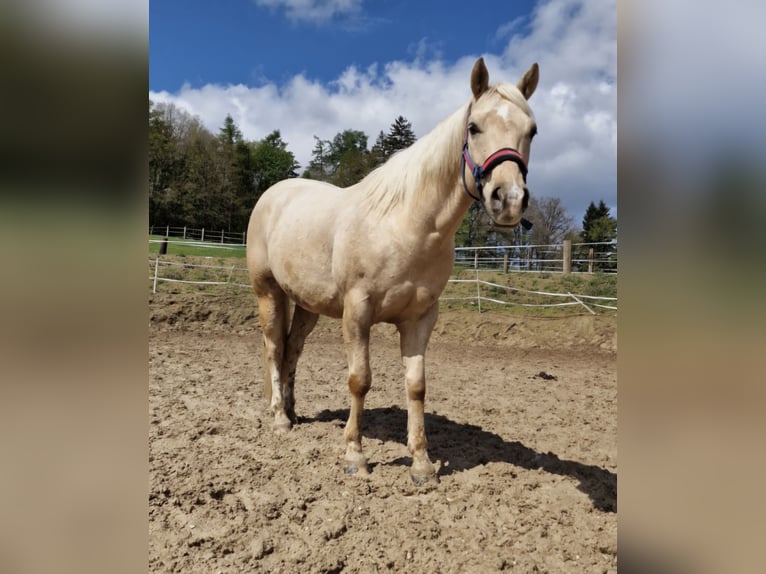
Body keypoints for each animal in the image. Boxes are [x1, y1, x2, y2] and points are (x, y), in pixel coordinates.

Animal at [248, 58, 540, 484]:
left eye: (531, 130)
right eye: (474, 127)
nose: (509, 200)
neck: (406, 226)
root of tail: (274, 194)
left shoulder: (419, 319)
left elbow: (416, 386)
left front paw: (421, 463)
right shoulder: (357, 312)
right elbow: (360, 380)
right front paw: (355, 456)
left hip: (307, 305)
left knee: (292, 350)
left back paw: (292, 409)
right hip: (268, 291)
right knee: (273, 347)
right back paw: (279, 418)